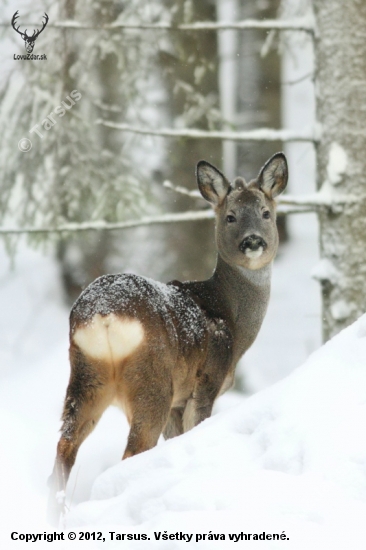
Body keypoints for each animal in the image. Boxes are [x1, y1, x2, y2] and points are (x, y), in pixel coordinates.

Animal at [48, 153, 288, 524]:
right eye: (230, 216)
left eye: (265, 212)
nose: (252, 241)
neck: (232, 318)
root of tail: (102, 315)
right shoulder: (207, 380)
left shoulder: (179, 399)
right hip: (152, 380)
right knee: (132, 451)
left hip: (86, 377)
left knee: (64, 446)